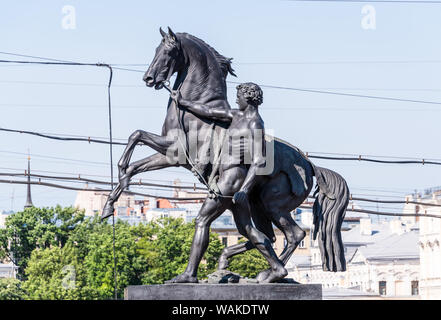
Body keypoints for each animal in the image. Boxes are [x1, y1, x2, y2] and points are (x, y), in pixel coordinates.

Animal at [101, 28, 348, 282]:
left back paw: (269, 273)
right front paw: (110, 203)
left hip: (272, 205)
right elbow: (135, 154)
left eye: (168, 51)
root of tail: (310, 165)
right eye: (155, 49)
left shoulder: (175, 152)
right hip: (256, 205)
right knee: (265, 235)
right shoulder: (169, 154)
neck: (197, 108)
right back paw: (246, 267)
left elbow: (136, 135)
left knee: (292, 235)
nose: (149, 79)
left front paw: (117, 179)